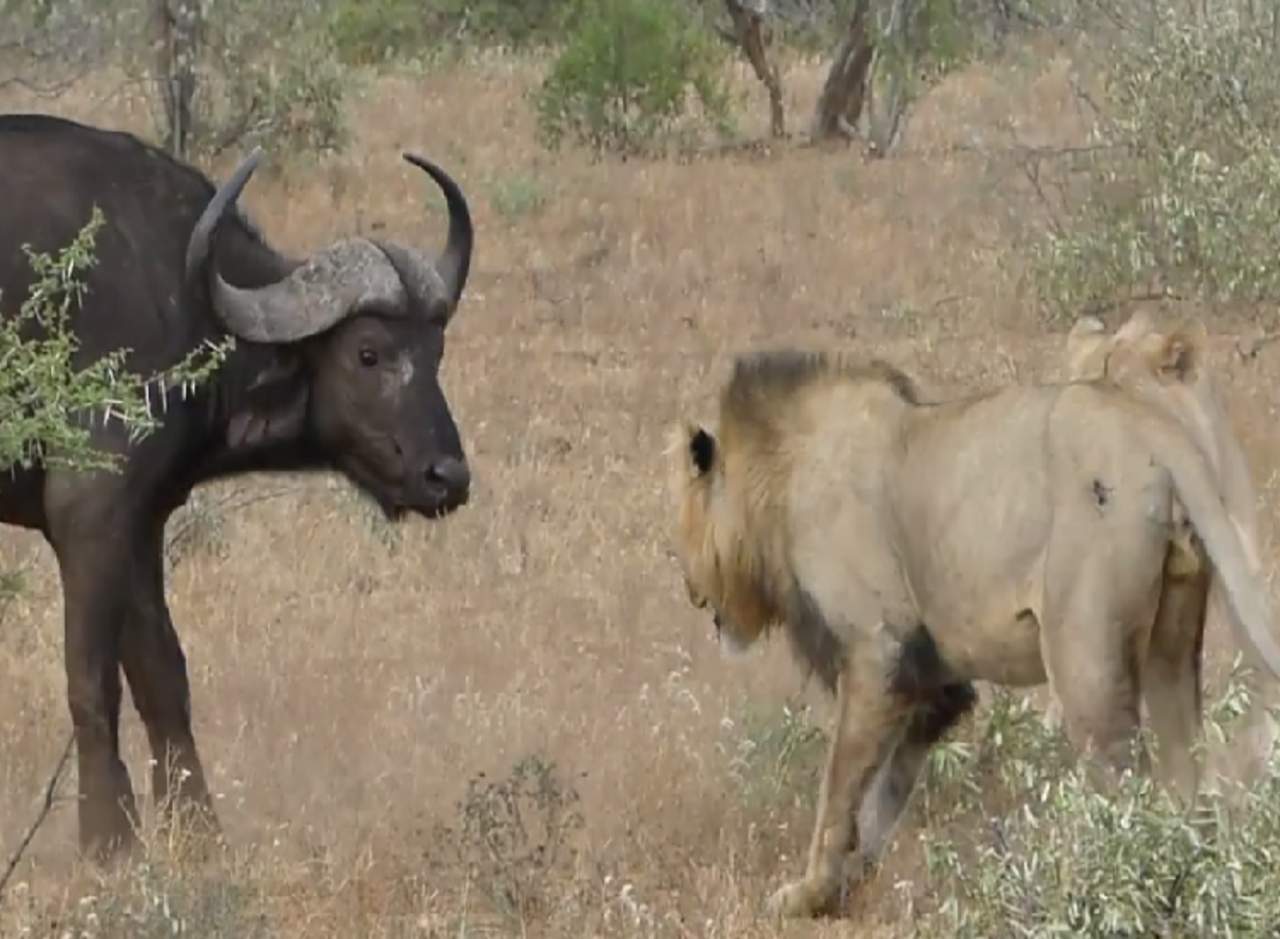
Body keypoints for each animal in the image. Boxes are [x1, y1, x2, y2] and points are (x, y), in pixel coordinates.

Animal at [0, 113, 476, 864]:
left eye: (437, 352)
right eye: (368, 352)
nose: (447, 476)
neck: (176, 291)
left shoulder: (141, 521)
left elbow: (164, 679)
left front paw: (199, 836)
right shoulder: (89, 511)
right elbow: (91, 682)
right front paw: (108, 842)